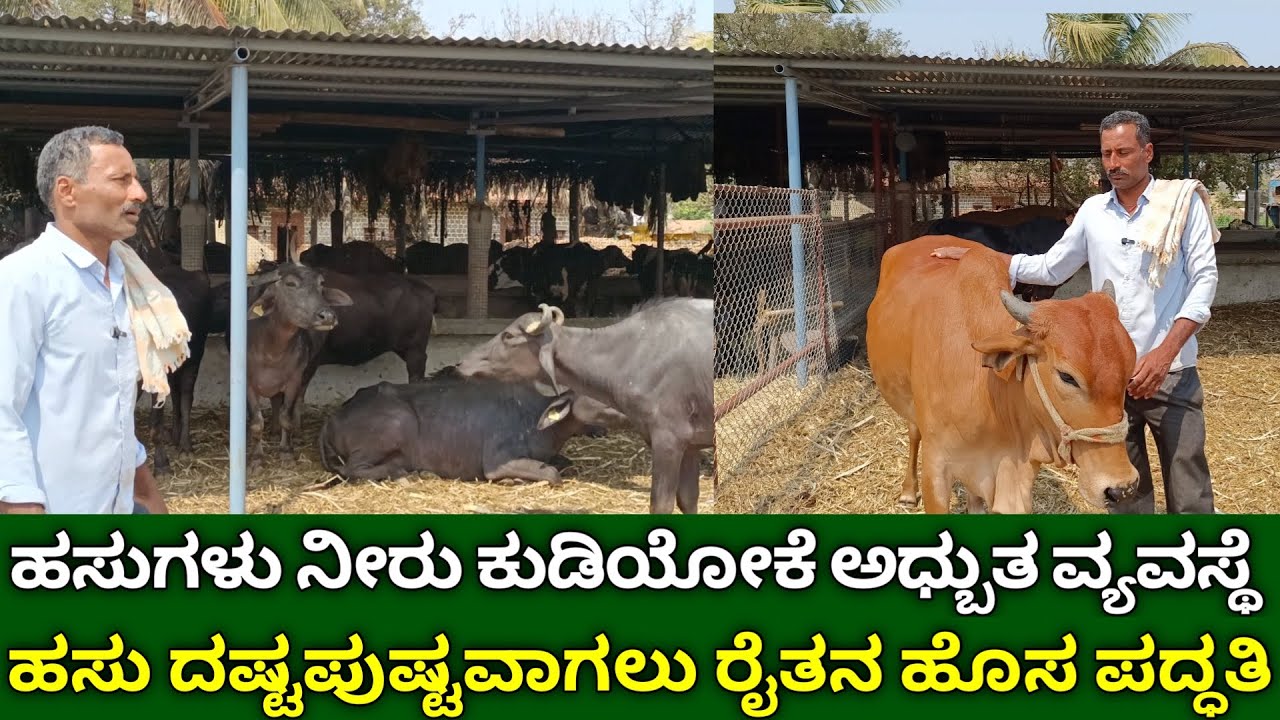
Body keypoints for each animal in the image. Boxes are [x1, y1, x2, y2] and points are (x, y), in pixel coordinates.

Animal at [242, 262, 353, 467]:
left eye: (321, 284)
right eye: (290, 284)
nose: (328, 316)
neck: (271, 349)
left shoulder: (294, 379)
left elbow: (286, 416)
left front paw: (286, 452)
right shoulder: (248, 383)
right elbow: (256, 422)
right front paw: (257, 458)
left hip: (311, 367)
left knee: (298, 401)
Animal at [317, 367, 628, 484]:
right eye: (597, 392)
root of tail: (333, 417)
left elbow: (564, 463)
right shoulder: (496, 461)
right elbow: (552, 473)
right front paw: (514, 479)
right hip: (397, 423)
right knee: (350, 469)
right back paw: (398, 472)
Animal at [456, 297, 715, 514]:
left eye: (508, 336)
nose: (461, 363)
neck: (633, 354)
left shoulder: (669, 440)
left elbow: (661, 505)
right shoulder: (690, 446)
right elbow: (688, 500)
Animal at [865, 235, 1139, 514]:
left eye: (1129, 372)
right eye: (1067, 377)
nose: (1121, 488)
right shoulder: (936, 468)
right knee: (913, 432)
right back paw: (908, 491)